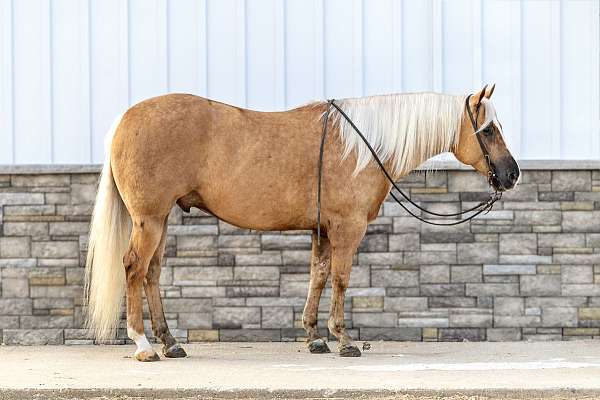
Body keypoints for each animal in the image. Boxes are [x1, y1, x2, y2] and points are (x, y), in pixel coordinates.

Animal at [85, 85, 520, 362]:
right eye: (488, 130)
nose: (511, 174)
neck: (364, 147)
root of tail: (126, 118)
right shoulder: (347, 228)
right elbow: (341, 278)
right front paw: (343, 339)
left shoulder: (322, 230)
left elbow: (318, 275)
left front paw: (314, 338)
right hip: (149, 220)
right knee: (134, 269)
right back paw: (143, 345)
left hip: (159, 220)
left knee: (152, 273)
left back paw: (170, 343)